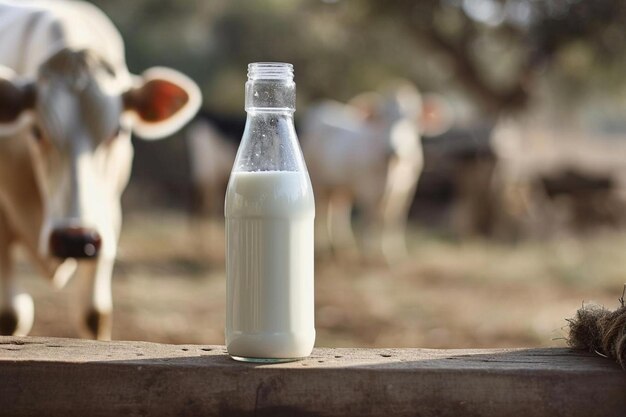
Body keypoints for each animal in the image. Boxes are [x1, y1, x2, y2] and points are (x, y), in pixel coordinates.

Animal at [0, 0, 200, 338]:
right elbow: (11, 314)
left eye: (118, 131)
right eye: (37, 132)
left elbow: (94, 313)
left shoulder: (107, 218)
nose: (74, 239)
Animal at [302, 83, 448, 262]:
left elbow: (393, 219)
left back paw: (342, 247)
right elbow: (370, 219)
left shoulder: (407, 190)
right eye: (382, 117)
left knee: (338, 209)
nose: (394, 149)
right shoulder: (368, 189)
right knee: (322, 211)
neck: (394, 172)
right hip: (318, 181)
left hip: (341, 185)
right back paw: (323, 250)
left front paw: (394, 254)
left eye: (413, 119)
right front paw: (368, 254)